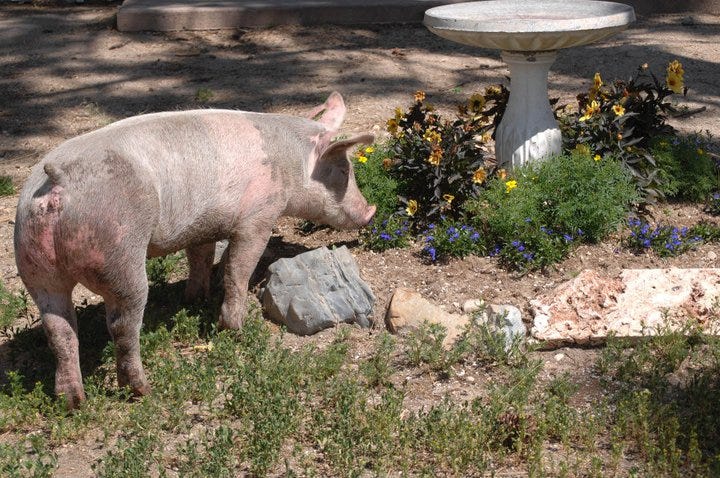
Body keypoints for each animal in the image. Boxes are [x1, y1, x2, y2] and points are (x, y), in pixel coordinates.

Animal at [12, 92, 376, 408]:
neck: (293, 163)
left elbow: (200, 257)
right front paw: (235, 330)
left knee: (59, 330)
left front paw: (194, 300)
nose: (370, 212)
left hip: (35, 267)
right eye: (344, 170)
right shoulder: (258, 217)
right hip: (118, 253)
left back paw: (73, 402)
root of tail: (58, 182)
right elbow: (237, 268)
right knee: (122, 325)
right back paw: (144, 391)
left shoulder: (204, 226)